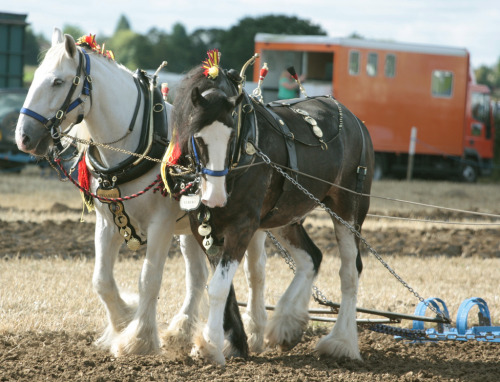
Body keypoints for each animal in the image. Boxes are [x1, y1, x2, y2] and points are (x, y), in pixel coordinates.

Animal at [14, 29, 274, 358]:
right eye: (34, 77)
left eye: (58, 82)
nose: (23, 137)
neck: (138, 144)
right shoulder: (108, 221)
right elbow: (101, 280)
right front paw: (124, 320)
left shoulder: (160, 224)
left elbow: (150, 279)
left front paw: (138, 339)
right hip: (192, 229)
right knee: (198, 276)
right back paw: (182, 330)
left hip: (252, 225)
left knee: (256, 272)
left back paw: (256, 331)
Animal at [166, 59, 374, 364]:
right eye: (197, 137)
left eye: (232, 136)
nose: (215, 197)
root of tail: (355, 120)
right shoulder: (204, 228)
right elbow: (221, 286)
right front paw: (232, 342)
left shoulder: (243, 226)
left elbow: (218, 287)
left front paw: (210, 344)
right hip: (285, 215)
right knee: (311, 257)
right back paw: (287, 322)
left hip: (348, 210)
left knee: (350, 271)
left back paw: (341, 342)